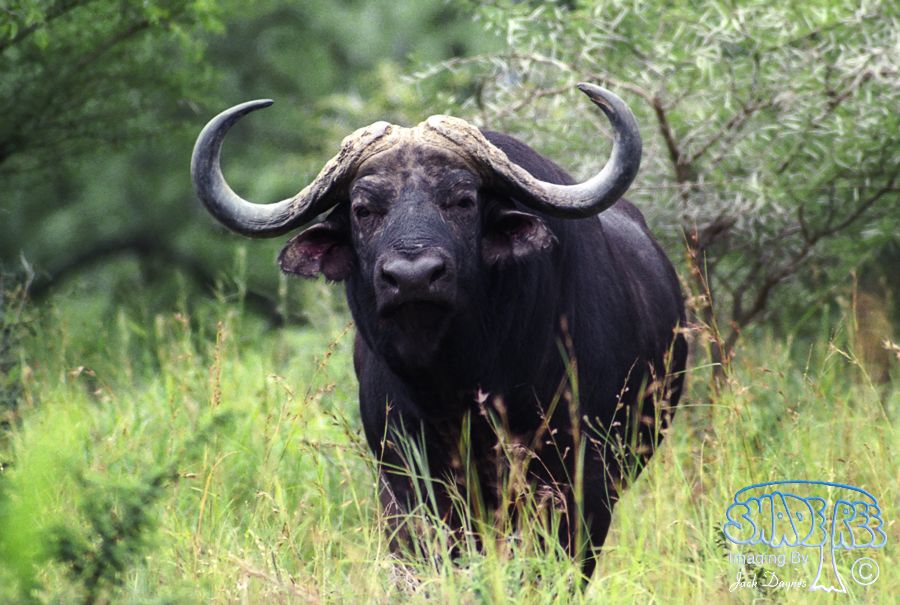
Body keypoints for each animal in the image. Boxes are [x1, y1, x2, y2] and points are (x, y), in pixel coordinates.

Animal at [191, 83, 687, 578]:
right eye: (363, 209)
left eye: (463, 200)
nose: (413, 276)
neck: (459, 383)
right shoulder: (406, 482)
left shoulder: (581, 482)